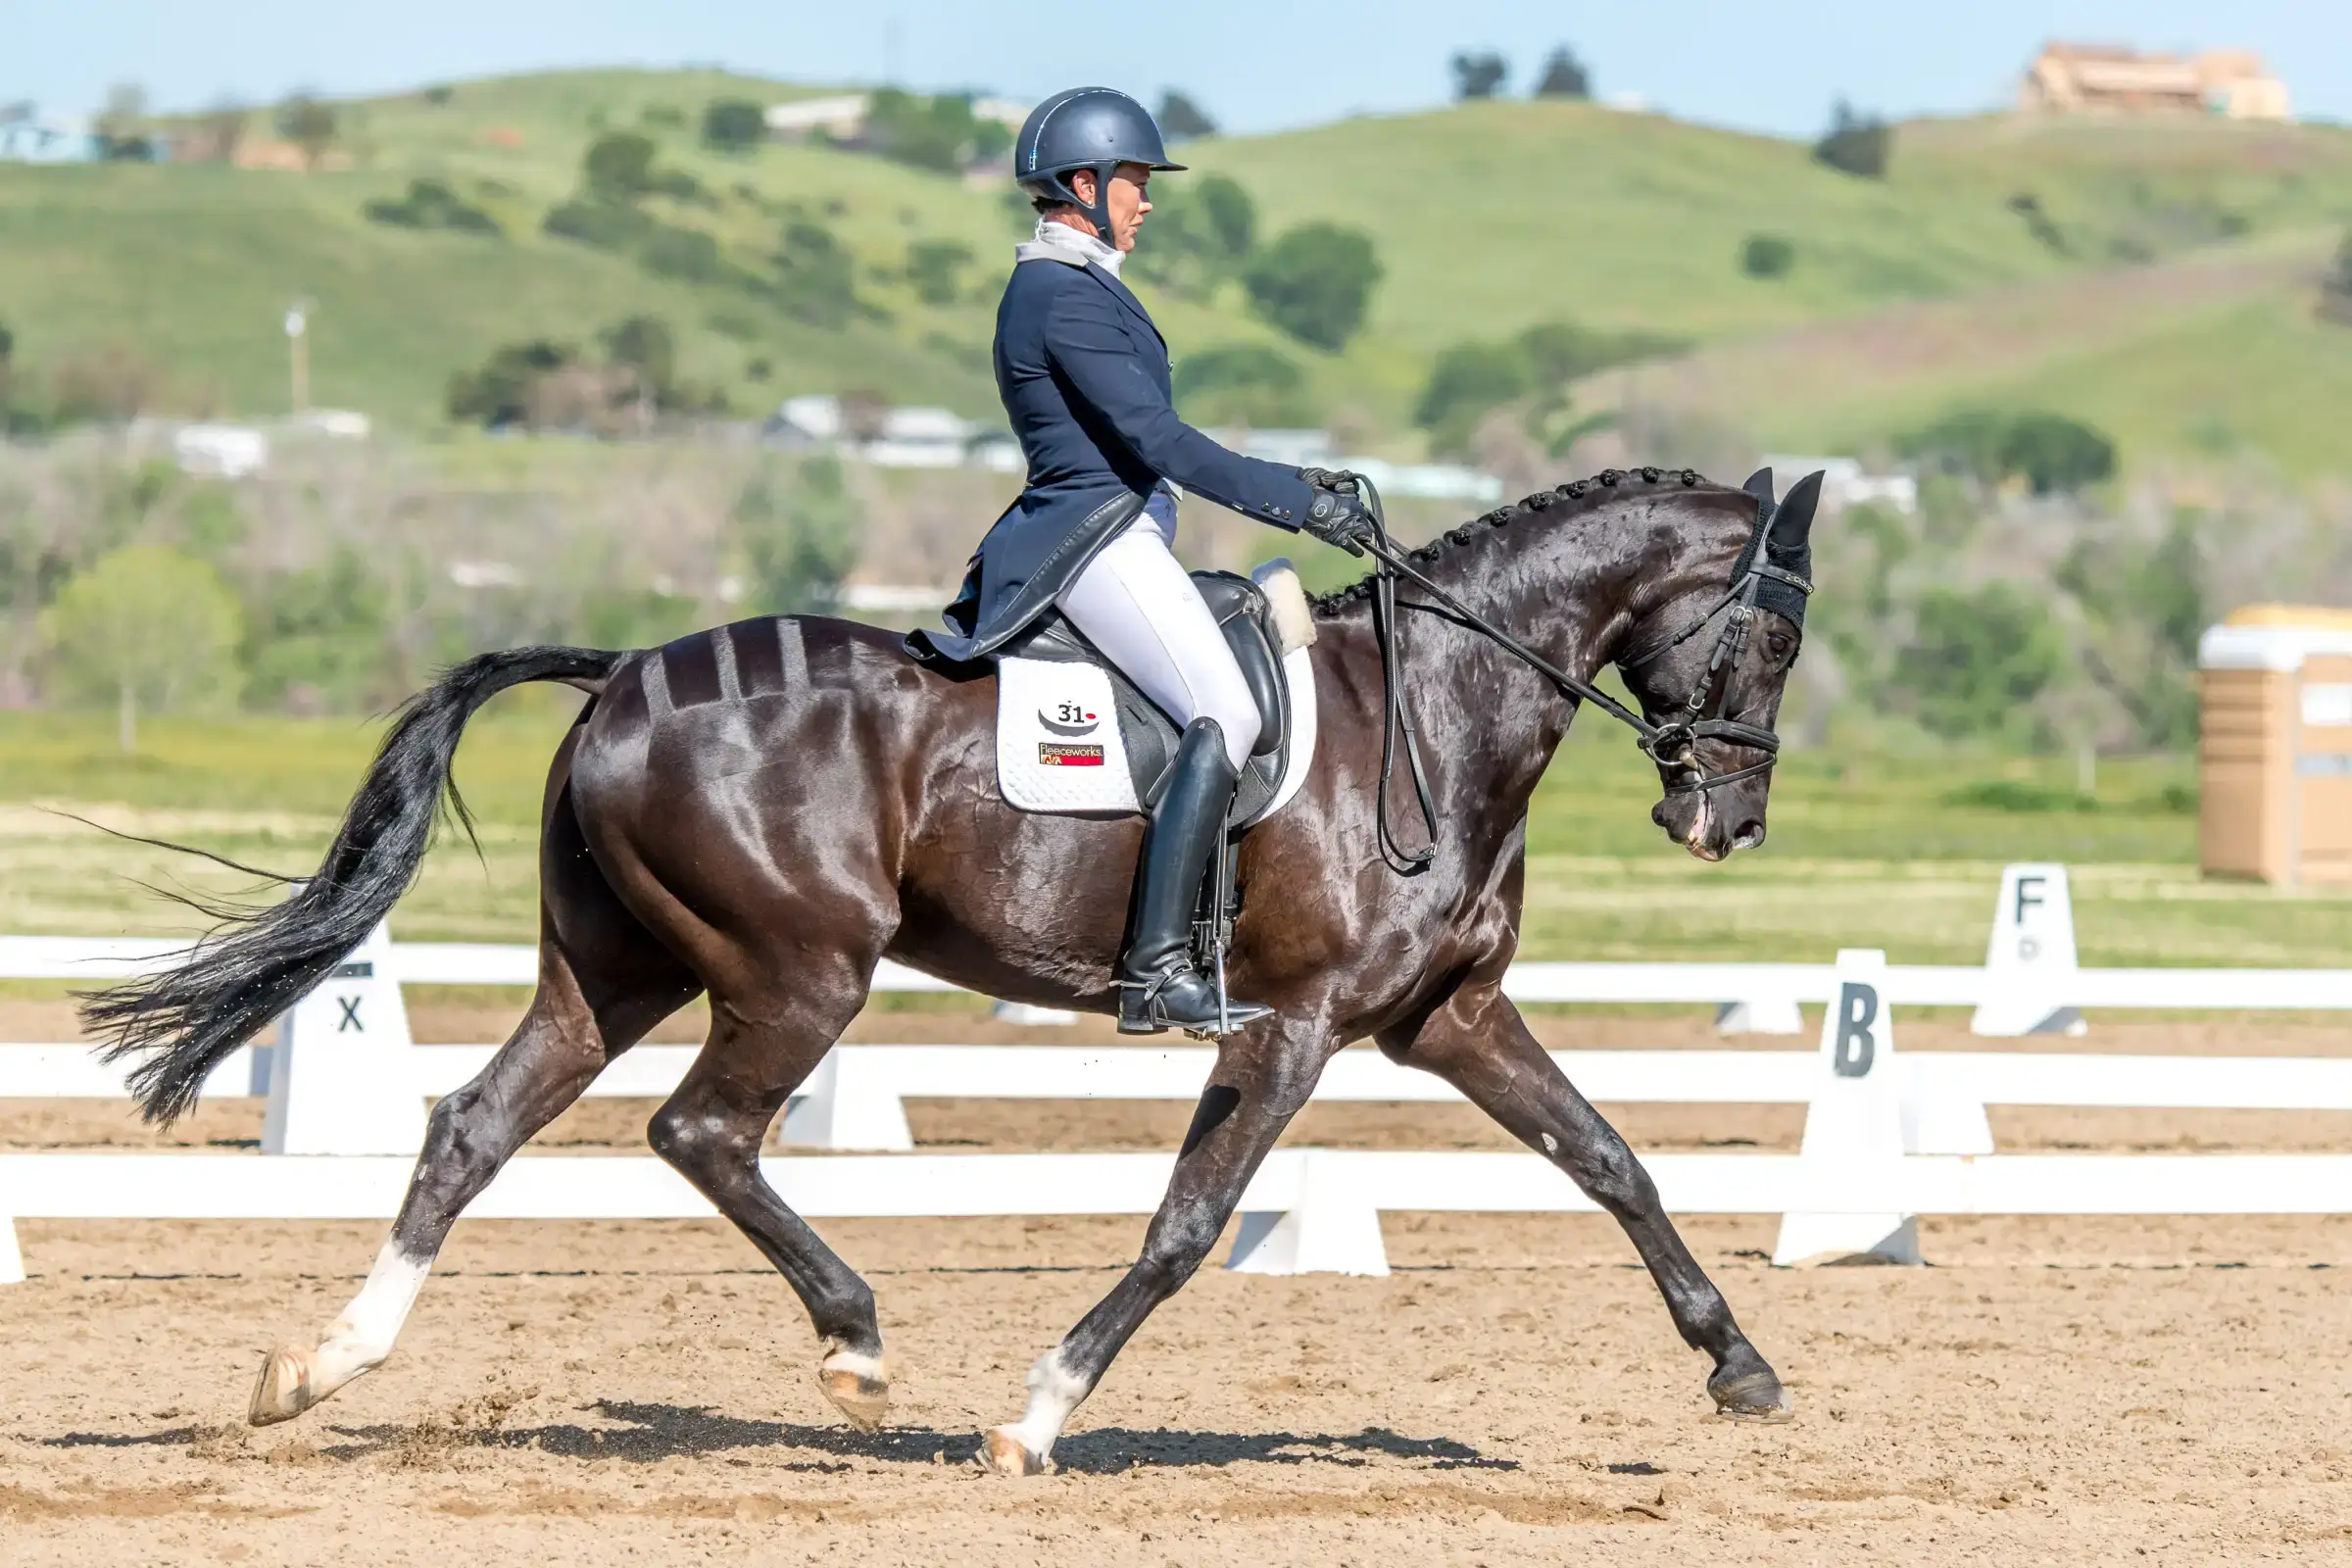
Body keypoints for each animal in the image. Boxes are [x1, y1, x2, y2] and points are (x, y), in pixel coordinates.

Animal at [87, 463, 1818, 1477]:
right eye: (1780, 638)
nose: (1723, 820)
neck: (1440, 710)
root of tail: (625, 670)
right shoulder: (1294, 1026)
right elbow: (1188, 1225)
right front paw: (1035, 1414)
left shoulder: (1448, 1018)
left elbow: (1611, 1160)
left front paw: (1739, 1367)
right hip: (801, 969)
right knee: (700, 1132)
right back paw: (854, 1343)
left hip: (617, 970)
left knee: (476, 1127)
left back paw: (321, 1369)